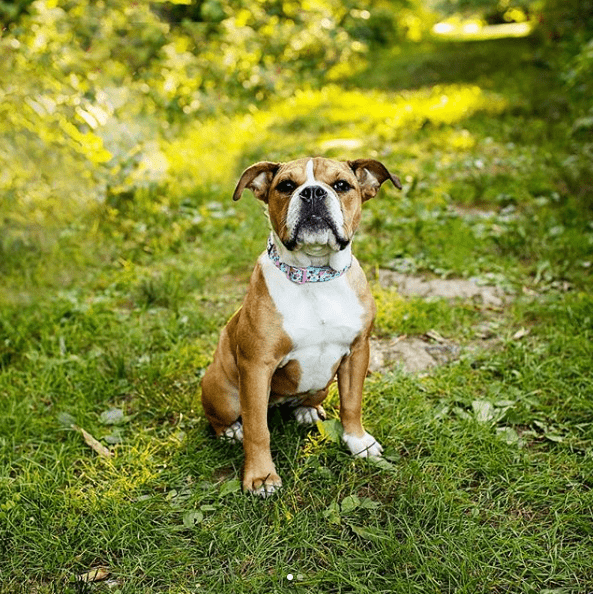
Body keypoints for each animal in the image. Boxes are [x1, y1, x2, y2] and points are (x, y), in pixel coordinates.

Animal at [201, 155, 400, 492]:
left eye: (341, 185)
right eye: (286, 186)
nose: (313, 192)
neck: (316, 276)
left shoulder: (357, 353)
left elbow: (352, 403)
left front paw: (358, 442)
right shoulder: (257, 367)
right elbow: (258, 428)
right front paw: (261, 476)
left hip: (322, 385)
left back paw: (307, 410)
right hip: (224, 393)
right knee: (227, 418)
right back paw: (231, 431)